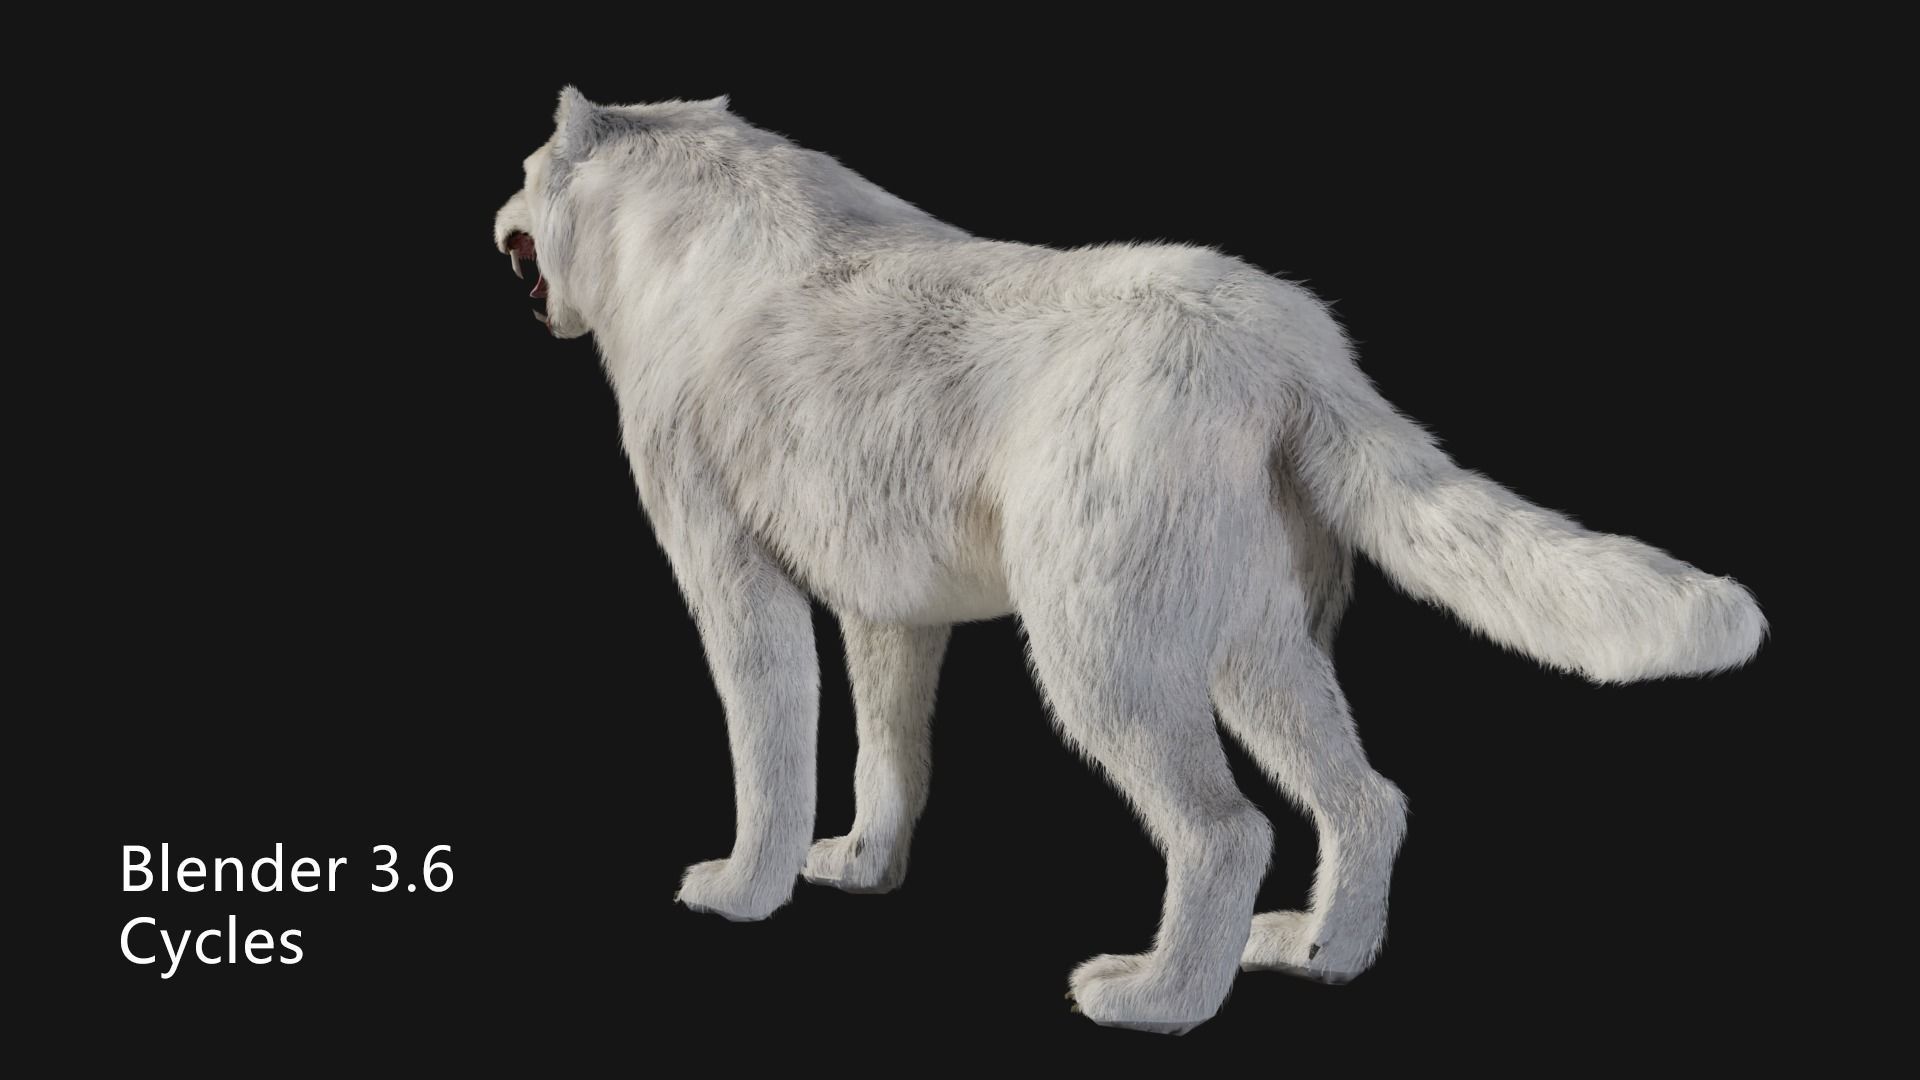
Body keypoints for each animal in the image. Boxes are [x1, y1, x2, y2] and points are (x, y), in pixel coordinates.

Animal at [493, 88, 1765, 1033]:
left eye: (527, 165)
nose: (495, 209)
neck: (674, 248)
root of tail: (1284, 342)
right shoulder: (892, 612)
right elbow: (889, 753)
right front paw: (860, 867)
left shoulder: (732, 578)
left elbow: (771, 748)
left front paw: (739, 894)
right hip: (1259, 655)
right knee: (1366, 799)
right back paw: (1318, 955)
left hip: (1104, 660)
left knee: (1226, 830)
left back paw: (1154, 998)